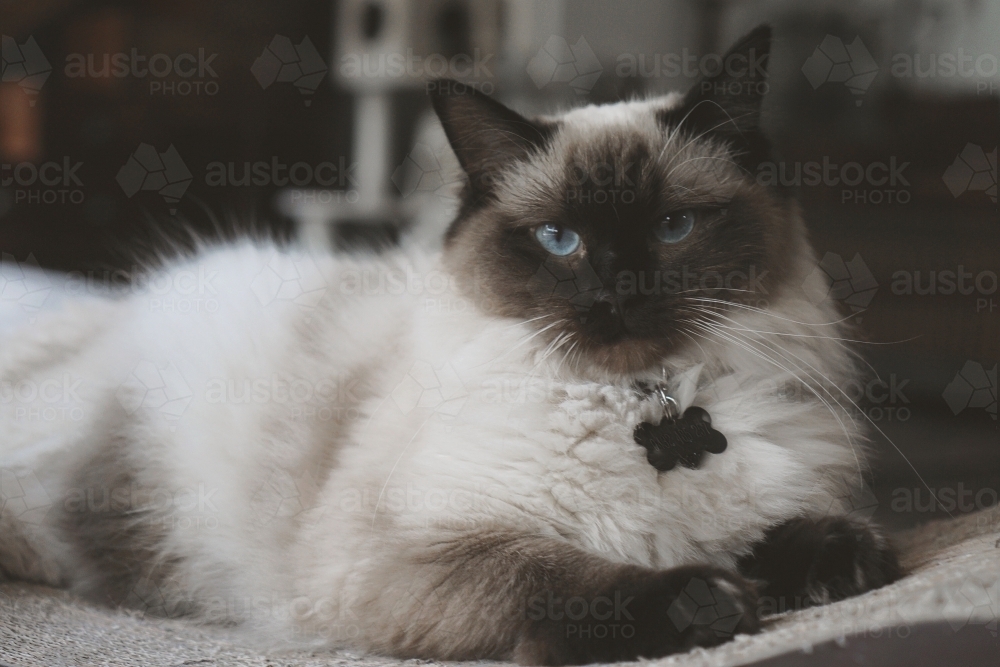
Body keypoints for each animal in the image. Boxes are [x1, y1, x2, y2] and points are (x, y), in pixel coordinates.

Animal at [1, 24, 908, 664]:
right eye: (558, 239)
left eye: (673, 227)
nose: (617, 291)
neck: (648, 403)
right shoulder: (415, 554)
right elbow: (561, 575)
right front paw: (710, 603)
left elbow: (802, 529)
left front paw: (835, 565)